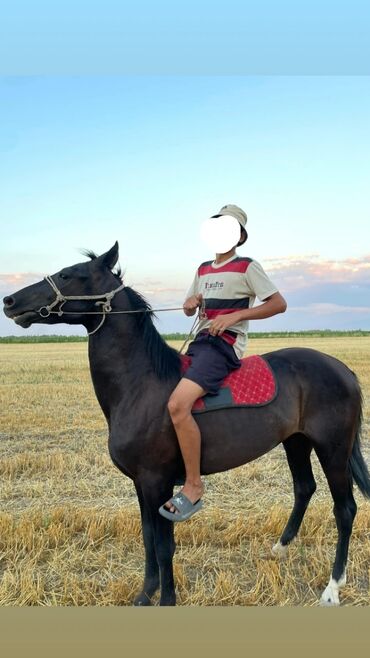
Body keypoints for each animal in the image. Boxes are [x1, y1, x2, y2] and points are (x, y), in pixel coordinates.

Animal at [3, 242, 370, 604]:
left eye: (68, 274)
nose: (10, 302)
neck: (140, 384)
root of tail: (342, 368)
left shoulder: (157, 482)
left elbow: (164, 546)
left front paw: (166, 599)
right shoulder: (141, 484)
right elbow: (148, 539)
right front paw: (145, 594)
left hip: (333, 449)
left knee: (345, 509)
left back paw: (332, 587)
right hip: (296, 441)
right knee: (304, 488)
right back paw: (279, 550)